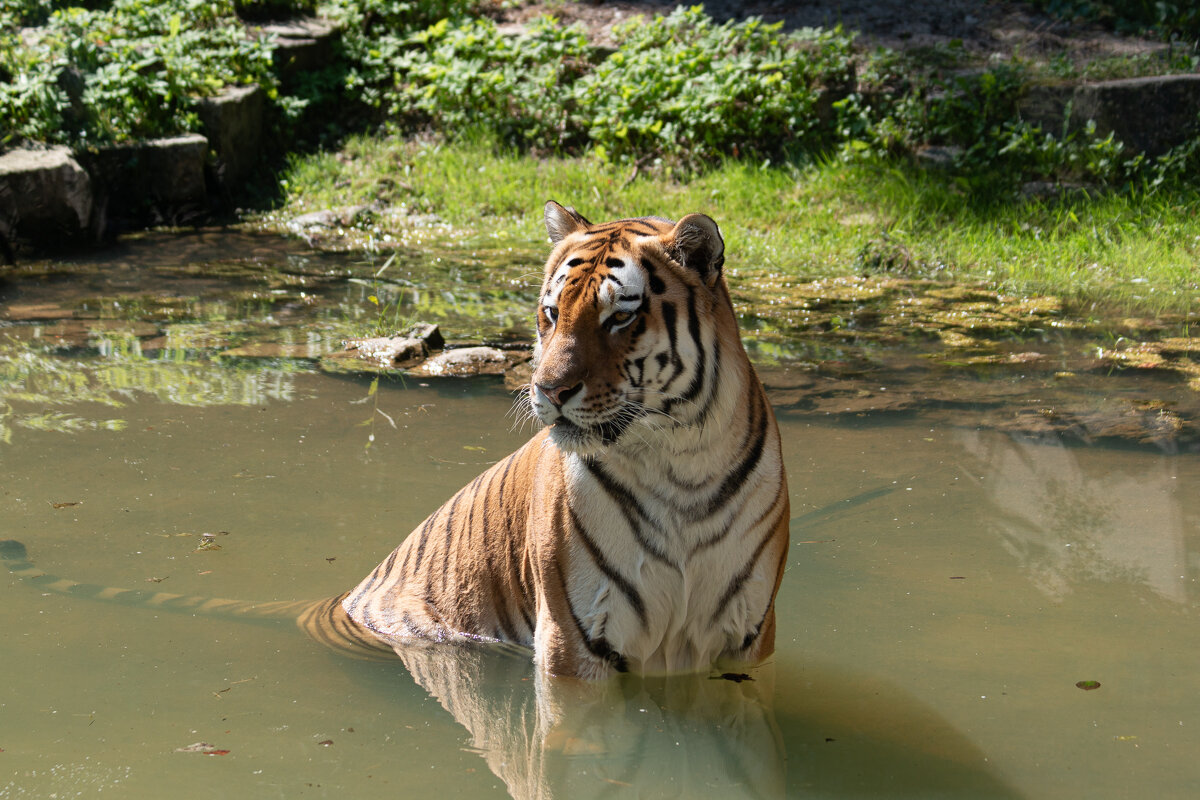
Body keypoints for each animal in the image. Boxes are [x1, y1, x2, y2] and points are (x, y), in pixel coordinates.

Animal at [4, 201, 792, 681]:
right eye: (549, 314)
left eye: (619, 317)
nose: (547, 389)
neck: (677, 460)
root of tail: (341, 600)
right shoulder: (578, 644)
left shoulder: (743, 638)